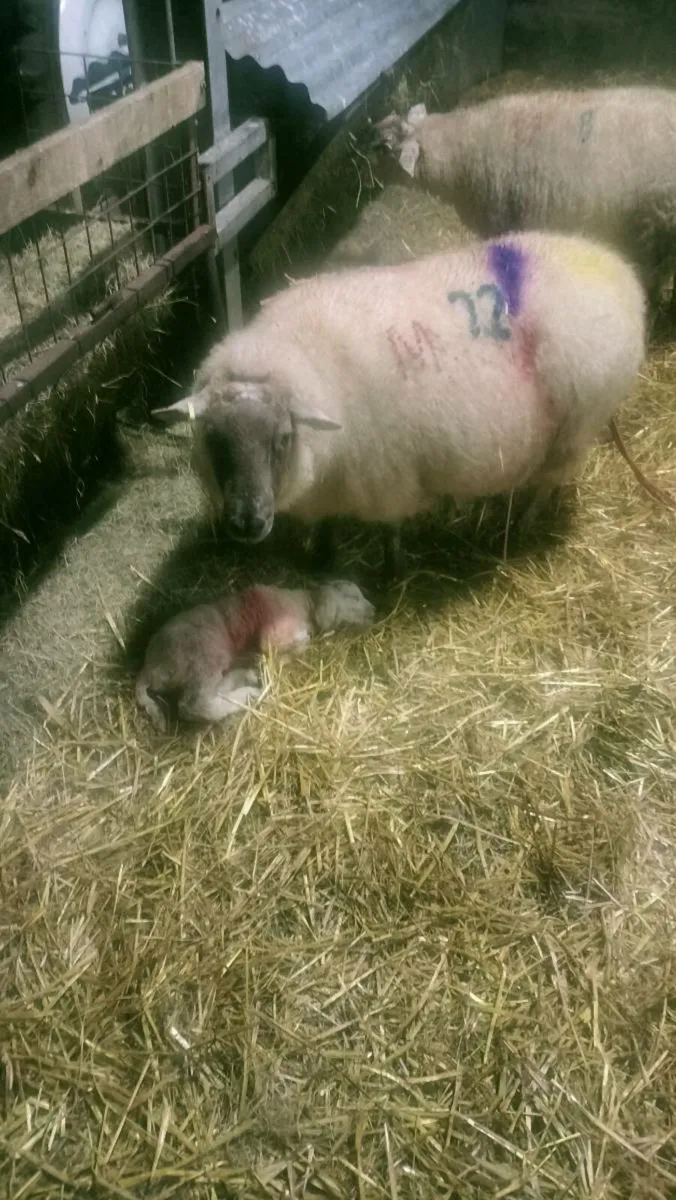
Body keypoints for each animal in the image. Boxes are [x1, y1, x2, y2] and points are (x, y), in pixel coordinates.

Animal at [136, 579, 375, 730]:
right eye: (353, 597)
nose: (374, 611)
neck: (304, 604)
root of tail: (149, 667)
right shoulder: (274, 633)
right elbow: (295, 643)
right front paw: (281, 657)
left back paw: (248, 679)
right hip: (201, 655)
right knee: (194, 705)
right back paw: (248, 692)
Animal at [152, 231, 646, 576]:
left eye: (282, 440)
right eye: (212, 440)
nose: (247, 523)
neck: (307, 357)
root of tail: (619, 272)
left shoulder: (386, 477)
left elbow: (391, 529)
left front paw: (393, 570)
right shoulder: (331, 482)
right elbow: (325, 525)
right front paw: (321, 557)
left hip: (578, 424)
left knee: (548, 480)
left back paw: (520, 525)